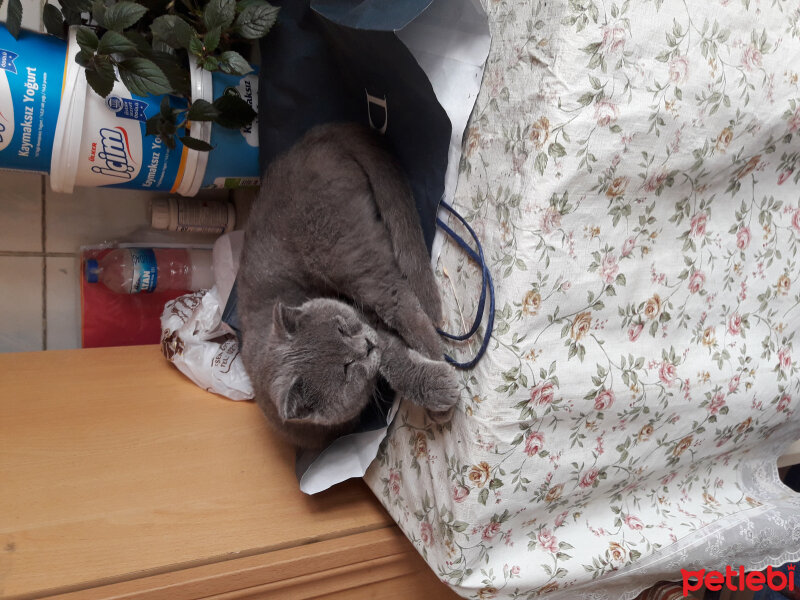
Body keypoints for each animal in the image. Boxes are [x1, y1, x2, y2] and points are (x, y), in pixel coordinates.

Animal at [239, 123, 456, 450]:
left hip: (342, 251)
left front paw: (439, 390)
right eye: (346, 368)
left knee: (402, 302)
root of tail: (321, 136)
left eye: (341, 327)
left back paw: (435, 355)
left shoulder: (366, 320)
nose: (366, 344)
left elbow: (394, 359)